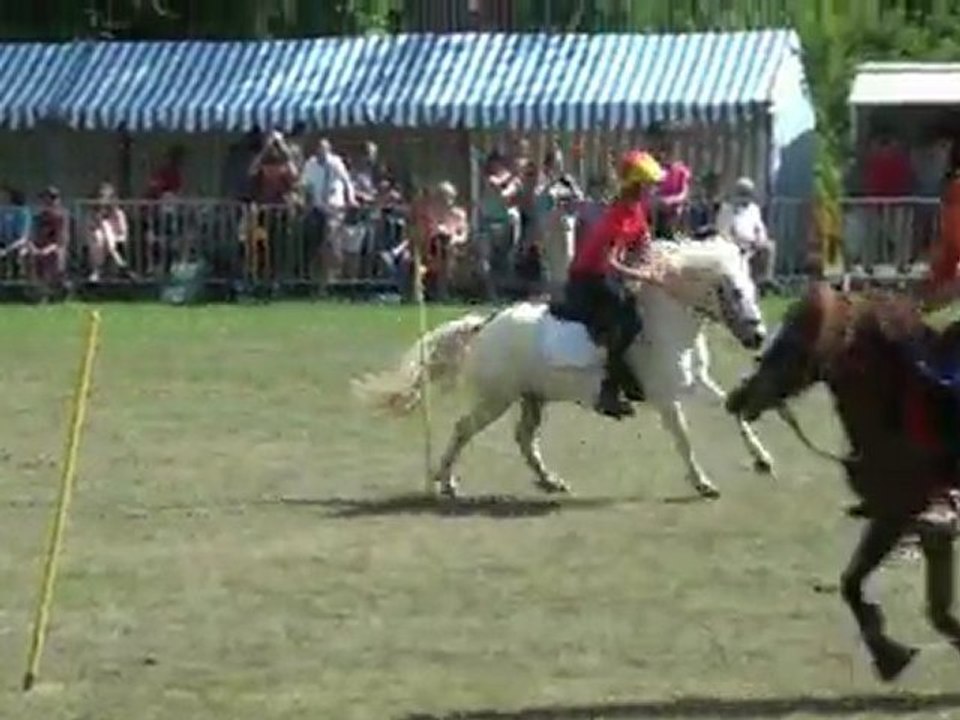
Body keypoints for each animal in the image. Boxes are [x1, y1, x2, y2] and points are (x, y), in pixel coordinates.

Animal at [353, 234, 773, 499]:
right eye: (734, 292)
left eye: (752, 290)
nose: (759, 337)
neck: (667, 322)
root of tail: (486, 324)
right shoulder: (665, 398)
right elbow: (684, 440)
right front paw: (703, 483)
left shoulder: (694, 384)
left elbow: (733, 408)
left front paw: (763, 460)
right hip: (497, 399)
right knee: (463, 429)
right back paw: (446, 482)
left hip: (532, 397)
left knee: (524, 439)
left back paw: (550, 481)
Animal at [725, 282, 960, 682]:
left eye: (794, 342)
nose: (737, 398)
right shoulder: (921, 526)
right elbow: (921, 604)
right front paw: (889, 654)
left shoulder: (897, 515)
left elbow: (855, 583)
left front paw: (887, 651)